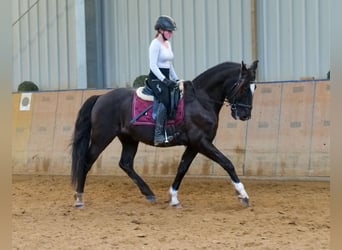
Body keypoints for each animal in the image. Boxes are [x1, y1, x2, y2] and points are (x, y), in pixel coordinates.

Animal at [73, 60, 260, 207]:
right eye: (244, 87)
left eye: (254, 87)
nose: (245, 115)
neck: (200, 100)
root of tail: (100, 97)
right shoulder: (201, 141)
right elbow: (227, 163)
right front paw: (243, 195)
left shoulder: (194, 145)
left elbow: (182, 167)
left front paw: (173, 198)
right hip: (101, 137)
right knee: (86, 161)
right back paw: (79, 198)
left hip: (129, 139)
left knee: (125, 163)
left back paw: (149, 193)